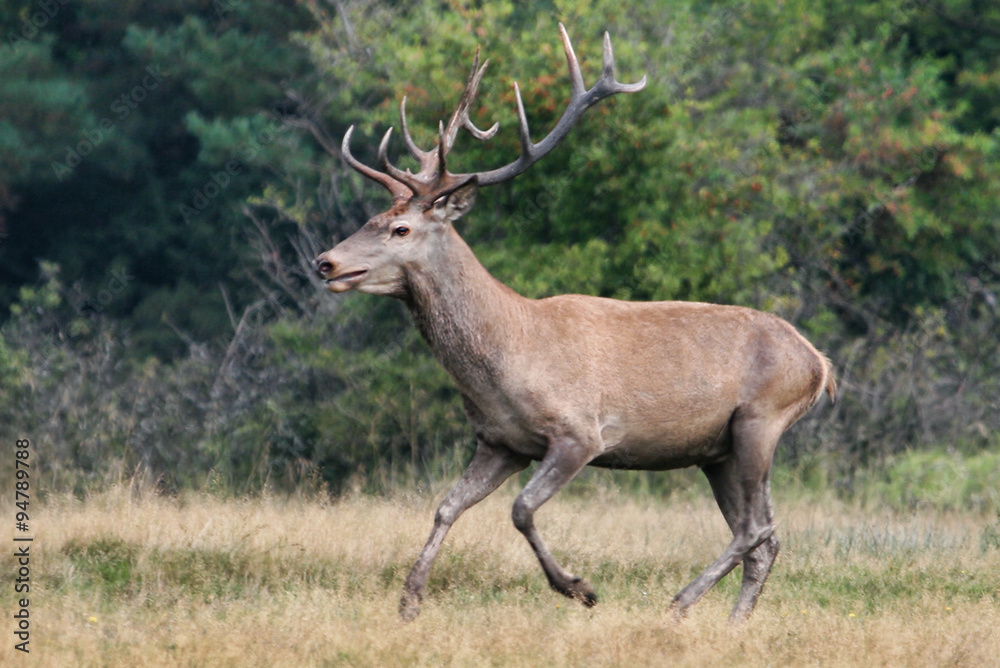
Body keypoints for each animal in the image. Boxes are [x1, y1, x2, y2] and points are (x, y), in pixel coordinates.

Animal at [314, 24, 836, 623]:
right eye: (371, 218)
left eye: (400, 229)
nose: (325, 262)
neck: (506, 357)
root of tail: (819, 364)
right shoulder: (500, 441)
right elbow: (445, 506)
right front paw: (409, 600)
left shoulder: (579, 432)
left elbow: (520, 509)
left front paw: (578, 587)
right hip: (718, 450)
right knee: (765, 535)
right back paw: (731, 625)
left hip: (762, 419)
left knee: (757, 528)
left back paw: (680, 602)